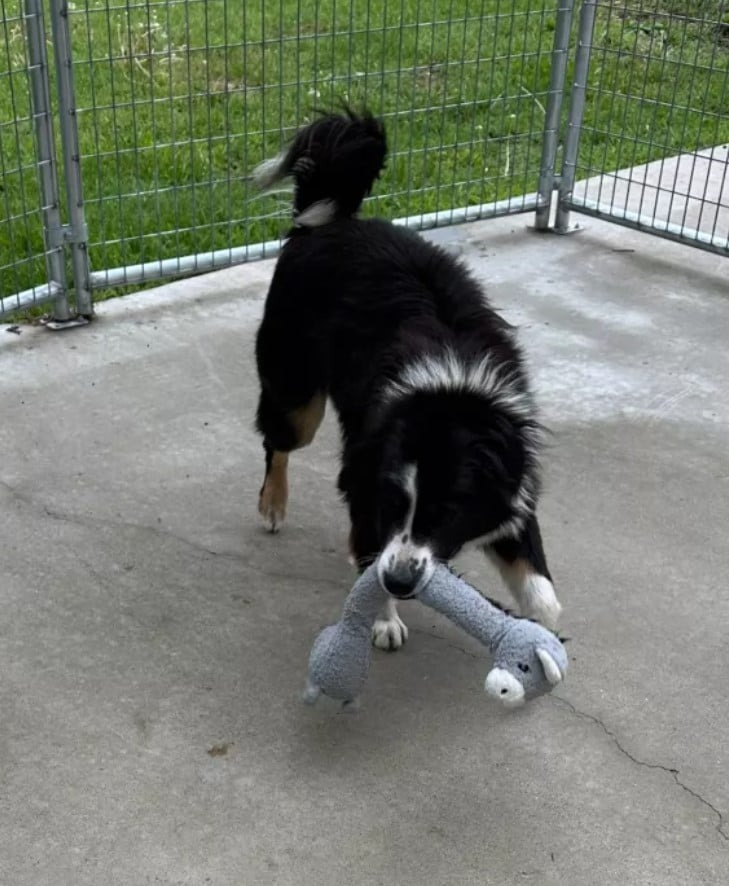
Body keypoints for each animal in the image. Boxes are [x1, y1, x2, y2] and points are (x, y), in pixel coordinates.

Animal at [253, 111, 560, 652]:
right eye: (395, 503)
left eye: (446, 512)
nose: (399, 582)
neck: (449, 394)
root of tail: (327, 223)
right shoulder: (365, 470)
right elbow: (370, 548)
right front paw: (383, 619)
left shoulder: (511, 478)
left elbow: (541, 586)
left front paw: (541, 630)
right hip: (298, 393)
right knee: (279, 440)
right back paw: (272, 505)